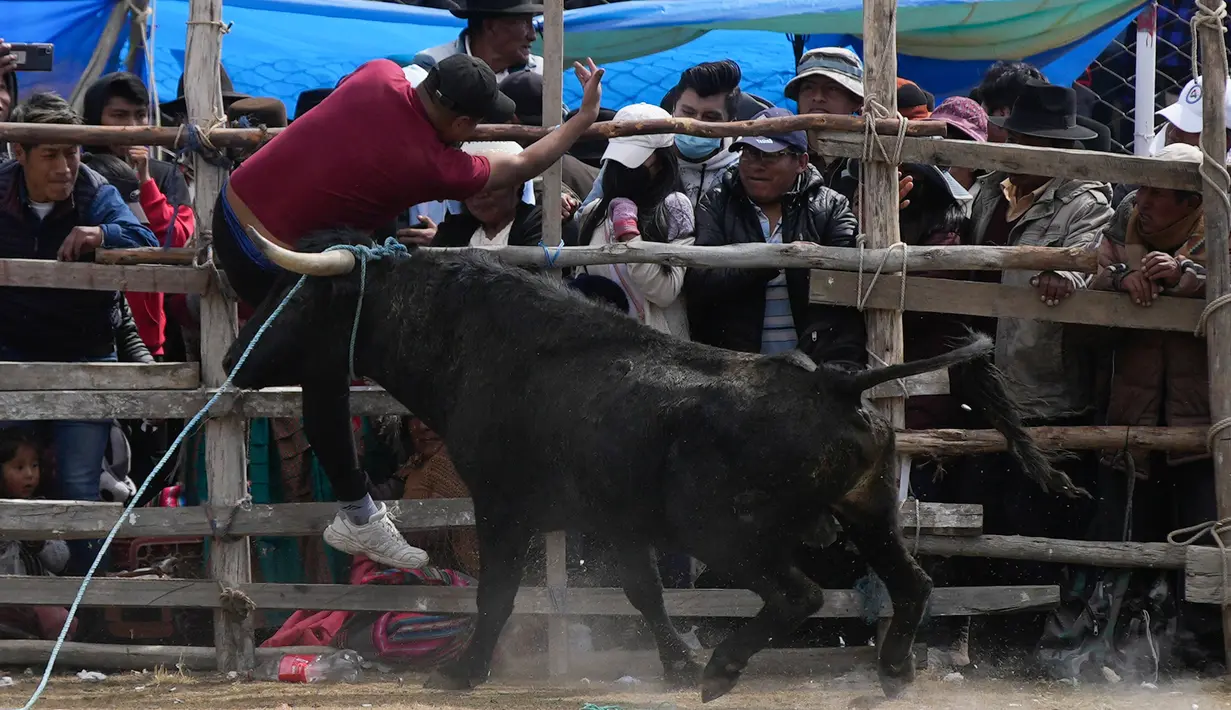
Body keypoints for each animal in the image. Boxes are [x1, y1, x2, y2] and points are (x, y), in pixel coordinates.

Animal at [224, 230, 1088, 698]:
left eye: (294, 301)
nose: (234, 357)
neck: (478, 342)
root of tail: (835, 381)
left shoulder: (503, 505)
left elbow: (497, 593)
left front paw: (462, 671)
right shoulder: (616, 519)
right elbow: (642, 592)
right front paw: (675, 661)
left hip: (727, 532)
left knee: (800, 594)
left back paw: (728, 668)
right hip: (866, 511)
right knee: (911, 585)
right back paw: (891, 672)